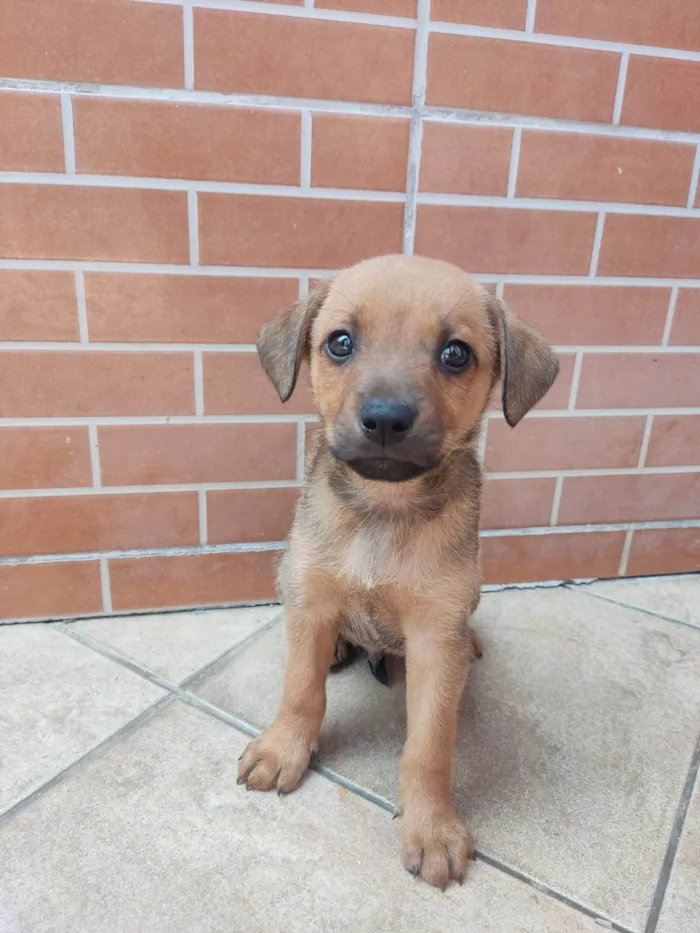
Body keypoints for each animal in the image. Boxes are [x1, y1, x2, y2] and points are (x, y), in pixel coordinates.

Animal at [238, 255, 560, 888]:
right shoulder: (310, 598)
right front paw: (283, 749)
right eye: (340, 342)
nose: (385, 419)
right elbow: (300, 689)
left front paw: (431, 827)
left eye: (456, 352)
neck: (383, 512)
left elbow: (429, 747)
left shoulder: (435, 635)